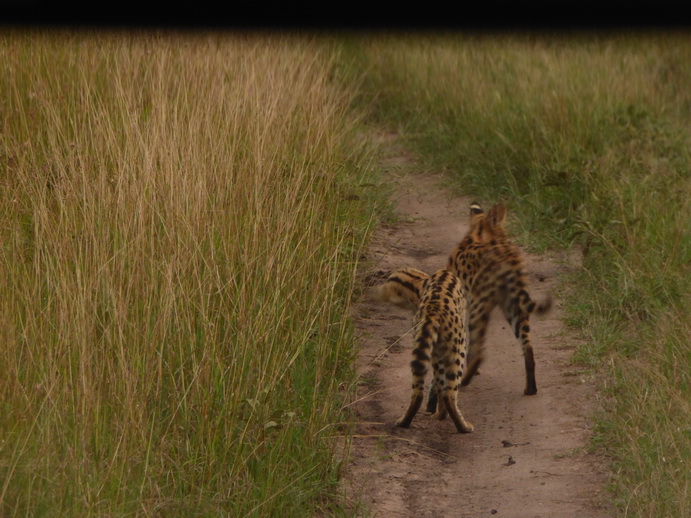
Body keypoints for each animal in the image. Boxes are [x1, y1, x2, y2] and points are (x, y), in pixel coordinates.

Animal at [378, 268, 476, 434]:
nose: (381, 293)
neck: (420, 282)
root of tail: (433, 310)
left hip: (430, 354)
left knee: (418, 393)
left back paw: (405, 422)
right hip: (457, 351)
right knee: (449, 394)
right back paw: (462, 426)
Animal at [446, 201, 556, 396]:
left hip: (480, 305)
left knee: (480, 352)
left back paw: (465, 380)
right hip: (515, 307)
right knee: (528, 348)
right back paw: (530, 388)